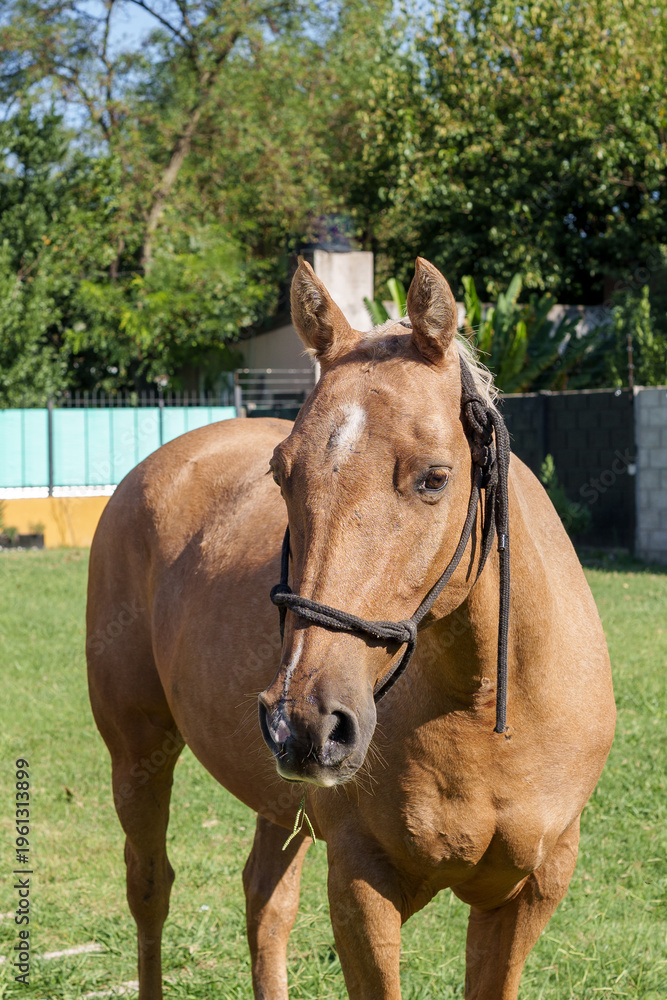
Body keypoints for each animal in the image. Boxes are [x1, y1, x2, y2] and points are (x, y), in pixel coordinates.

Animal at [86, 257, 616, 1000]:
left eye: (434, 478)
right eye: (282, 473)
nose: (307, 721)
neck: (484, 704)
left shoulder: (530, 891)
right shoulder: (364, 887)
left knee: (264, 902)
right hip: (138, 753)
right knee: (150, 890)